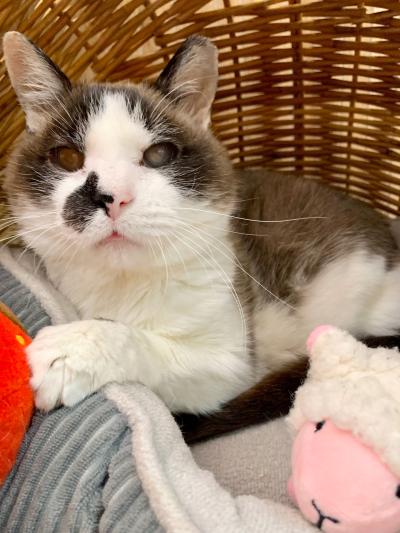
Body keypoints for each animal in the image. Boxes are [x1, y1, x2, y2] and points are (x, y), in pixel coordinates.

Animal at [3, 31, 400, 438]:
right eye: (67, 158)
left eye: (159, 154)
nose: (113, 197)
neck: (124, 285)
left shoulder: (230, 364)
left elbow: (143, 345)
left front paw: (75, 349)